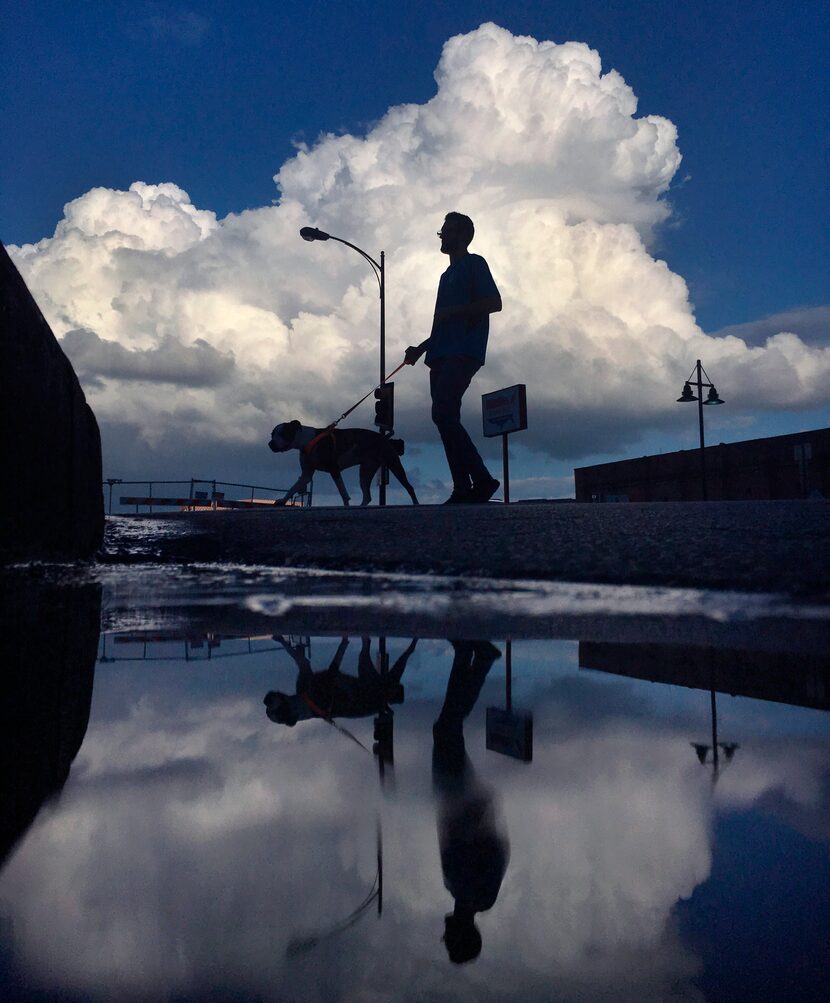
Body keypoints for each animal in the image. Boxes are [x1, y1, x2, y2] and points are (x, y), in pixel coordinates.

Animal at [266, 419, 419, 505]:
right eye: (272, 434)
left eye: (282, 433)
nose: (270, 444)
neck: (307, 441)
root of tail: (385, 437)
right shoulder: (306, 475)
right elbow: (293, 487)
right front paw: (282, 500)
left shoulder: (334, 470)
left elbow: (343, 492)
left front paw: (346, 505)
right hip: (365, 471)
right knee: (367, 496)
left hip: (393, 464)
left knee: (409, 487)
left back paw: (416, 504)